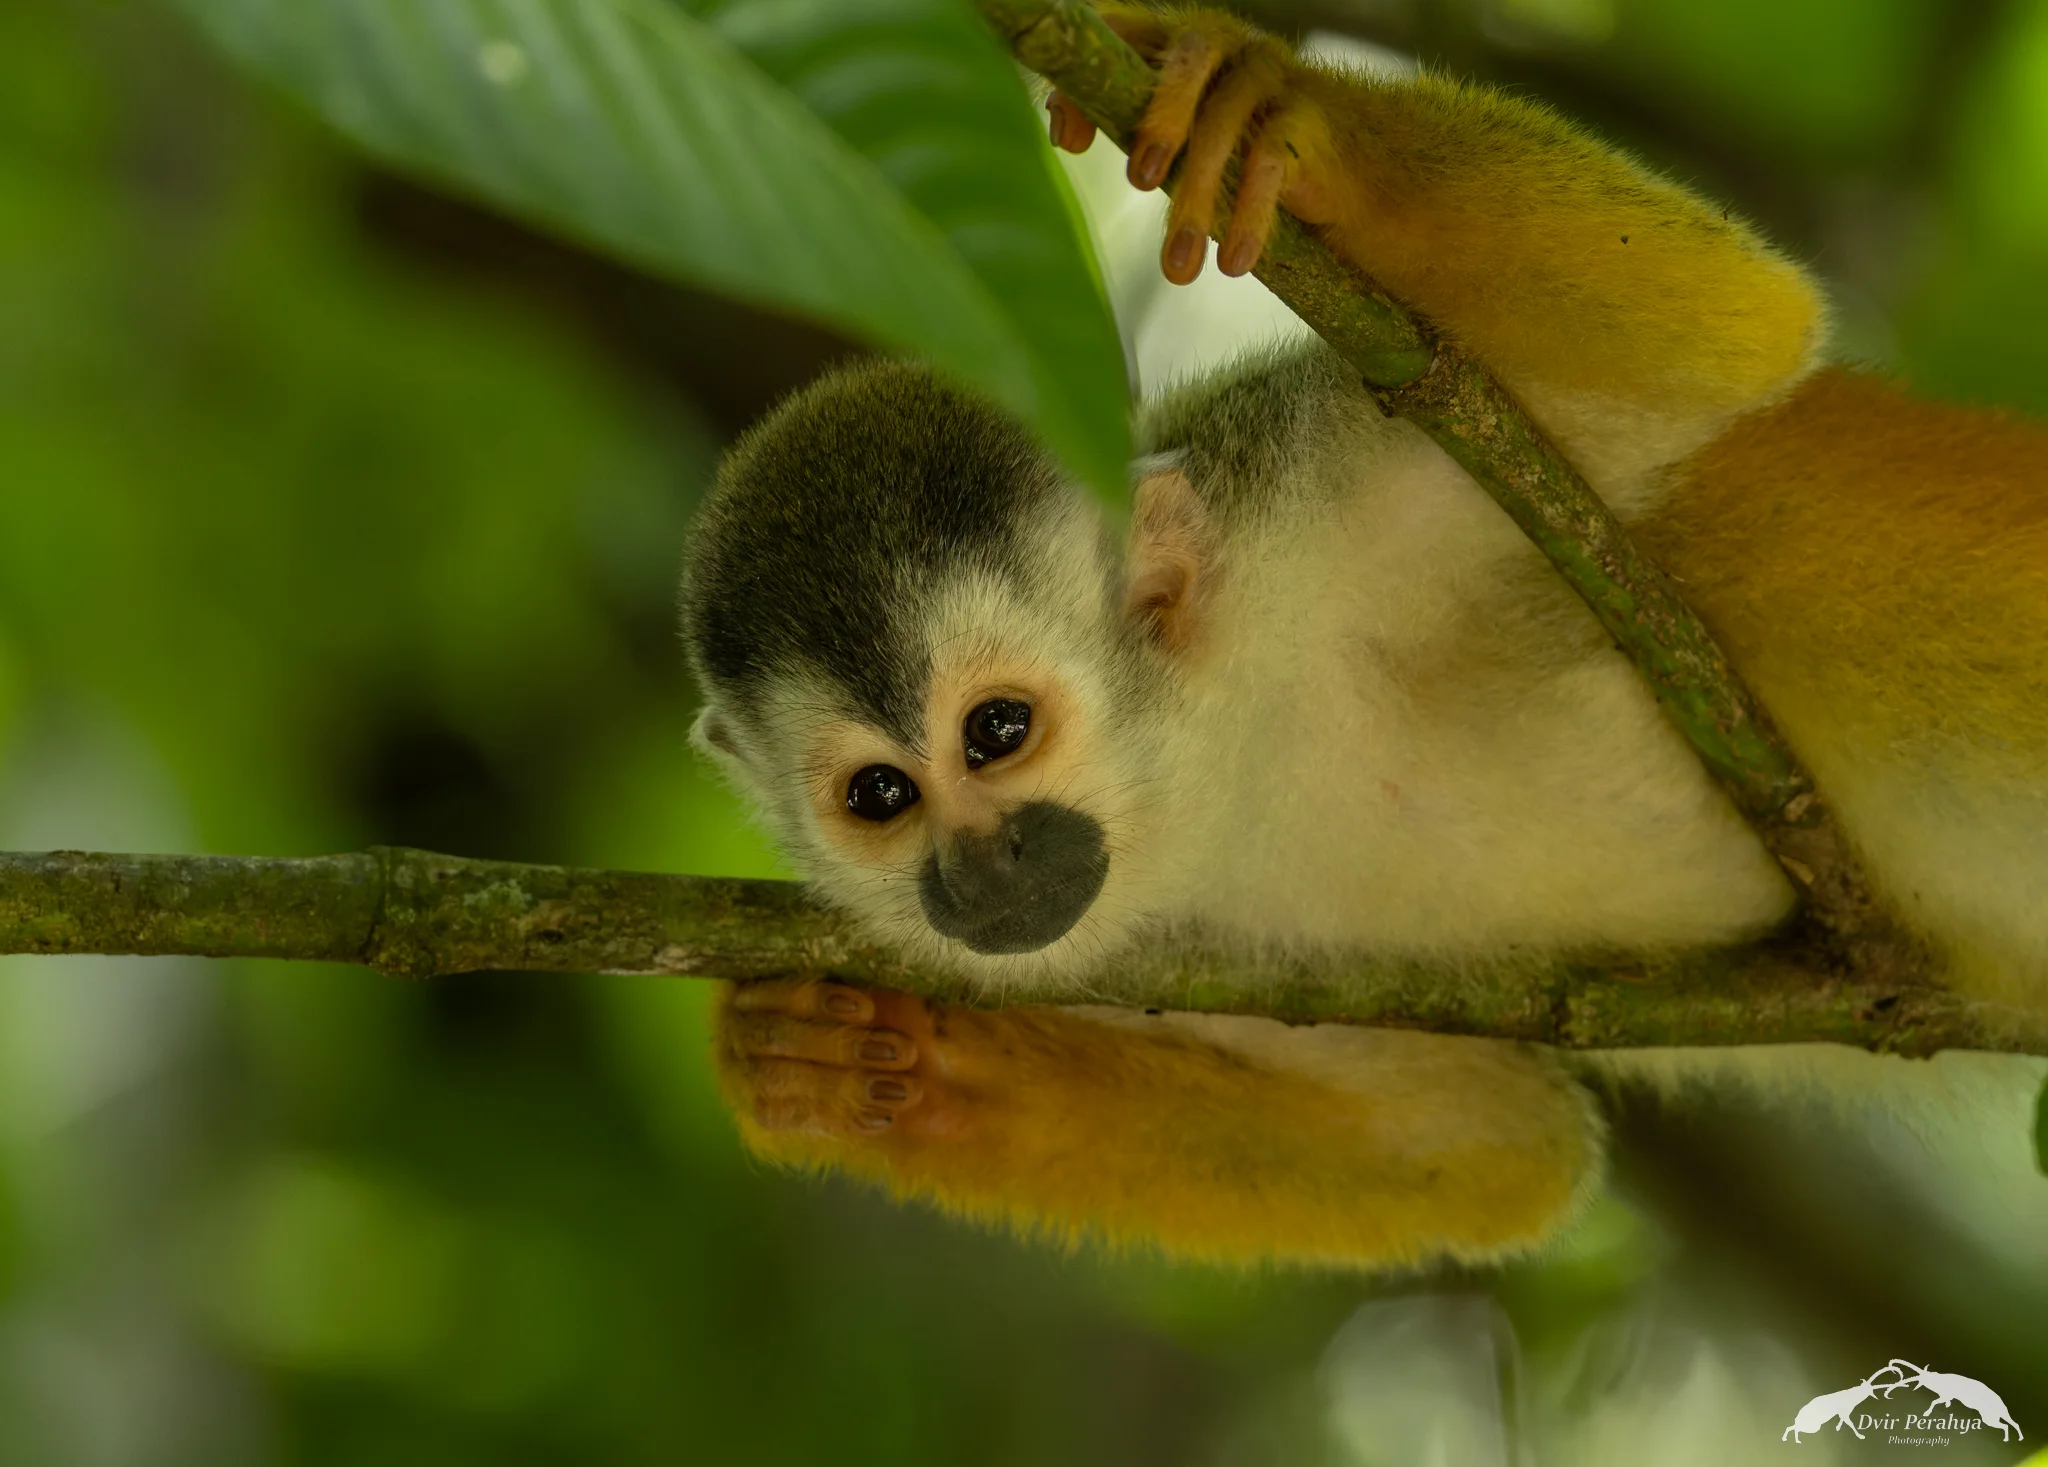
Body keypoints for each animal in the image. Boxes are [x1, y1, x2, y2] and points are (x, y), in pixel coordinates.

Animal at [676, 5, 2048, 1271]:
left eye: (996, 732)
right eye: (880, 795)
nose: (980, 869)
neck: (1230, 739)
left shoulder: (1335, 490)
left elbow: (1717, 337)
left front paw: (1269, 112)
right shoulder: (1184, 937)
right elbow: (1482, 1143)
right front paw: (883, 1068)